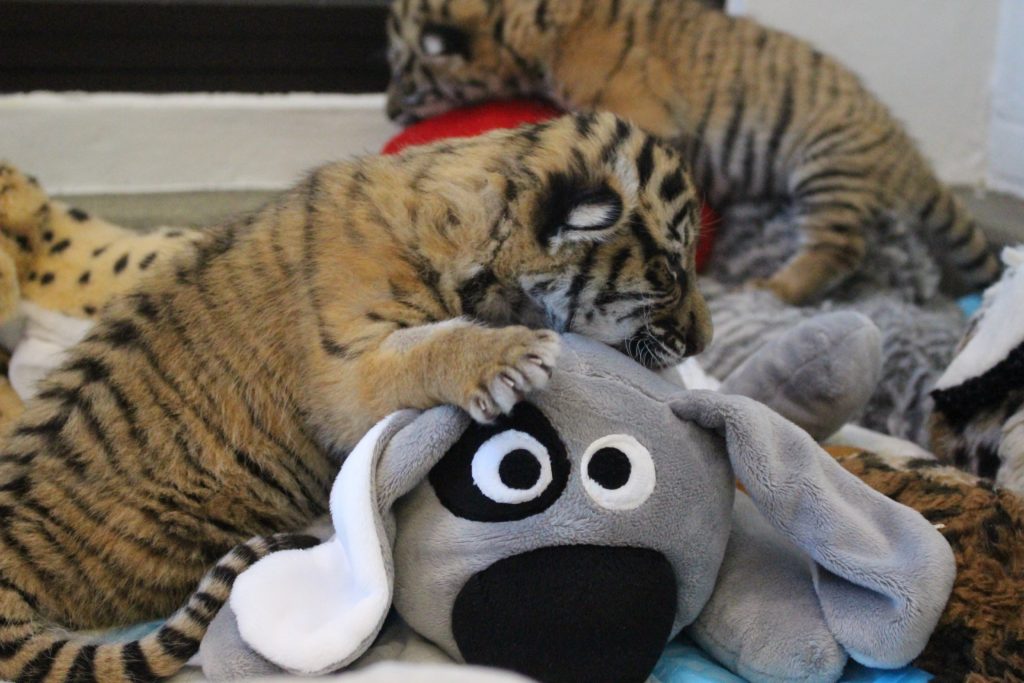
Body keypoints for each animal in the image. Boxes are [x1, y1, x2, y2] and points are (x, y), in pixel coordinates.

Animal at [384, 0, 1001, 305]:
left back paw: (777, 289)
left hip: (829, 164)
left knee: (839, 246)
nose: (389, 109)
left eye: (408, 79)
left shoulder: (639, 110)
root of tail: (906, 149)